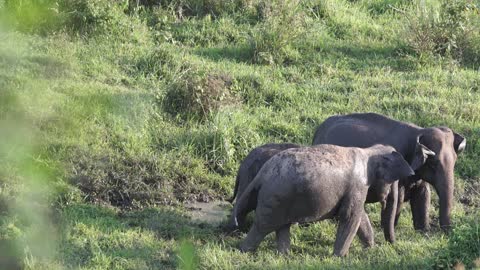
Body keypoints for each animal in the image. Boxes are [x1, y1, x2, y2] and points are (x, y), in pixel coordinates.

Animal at [234, 144, 414, 256]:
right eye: (394, 182)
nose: (392, 245)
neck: (369, 151)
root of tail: (261, 175)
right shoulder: (358, 185)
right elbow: (350, 216)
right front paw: (339, 257)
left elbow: (360, 217)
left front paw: (370, 249)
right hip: (275, 199)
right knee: (263, 226)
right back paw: (244, 251)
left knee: (282, 227)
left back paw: (284, 256)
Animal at [312, 113, 464, 231]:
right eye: (433, 163)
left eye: (455, 161)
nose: (447, 232)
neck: (418, 131)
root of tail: (318, 131)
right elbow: (399, 197)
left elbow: (423, 195)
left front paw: (423, 231)